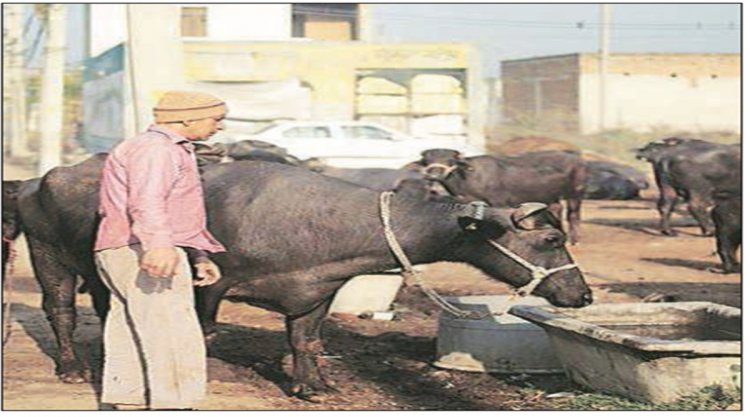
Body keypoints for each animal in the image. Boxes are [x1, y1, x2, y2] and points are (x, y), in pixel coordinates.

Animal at [406, 148, 588, 242]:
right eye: (427, 161)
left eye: (451, 160)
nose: (434, 175)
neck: (469, 179)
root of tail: (575, 158)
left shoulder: (499, 202)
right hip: (551, 196)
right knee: (557, 210)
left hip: (575, 194)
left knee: (573, 215)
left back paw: (574, 239)